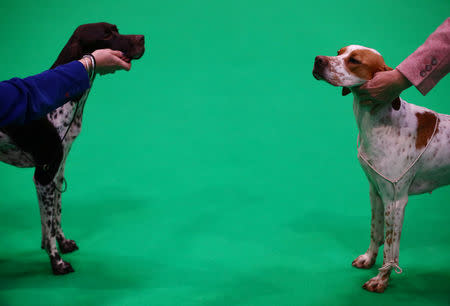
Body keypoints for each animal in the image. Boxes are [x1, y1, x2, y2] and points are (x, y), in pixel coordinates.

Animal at [0, 22, 144, 274]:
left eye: (116, 29)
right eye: (107, 34)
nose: (142, 38)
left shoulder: (58, 171)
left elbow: (55, 215)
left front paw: (63, 243)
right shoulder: (44, 175)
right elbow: (48, 221)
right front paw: (56, 262)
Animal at [312, 44, 450, 292]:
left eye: (354, 60)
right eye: (338, 52)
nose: (318, 60)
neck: (378, 121)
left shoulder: (395, 200)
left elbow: (390, 248)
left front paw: (382, 279)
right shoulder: (375, 191)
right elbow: (374, 231)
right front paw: (368, 259)